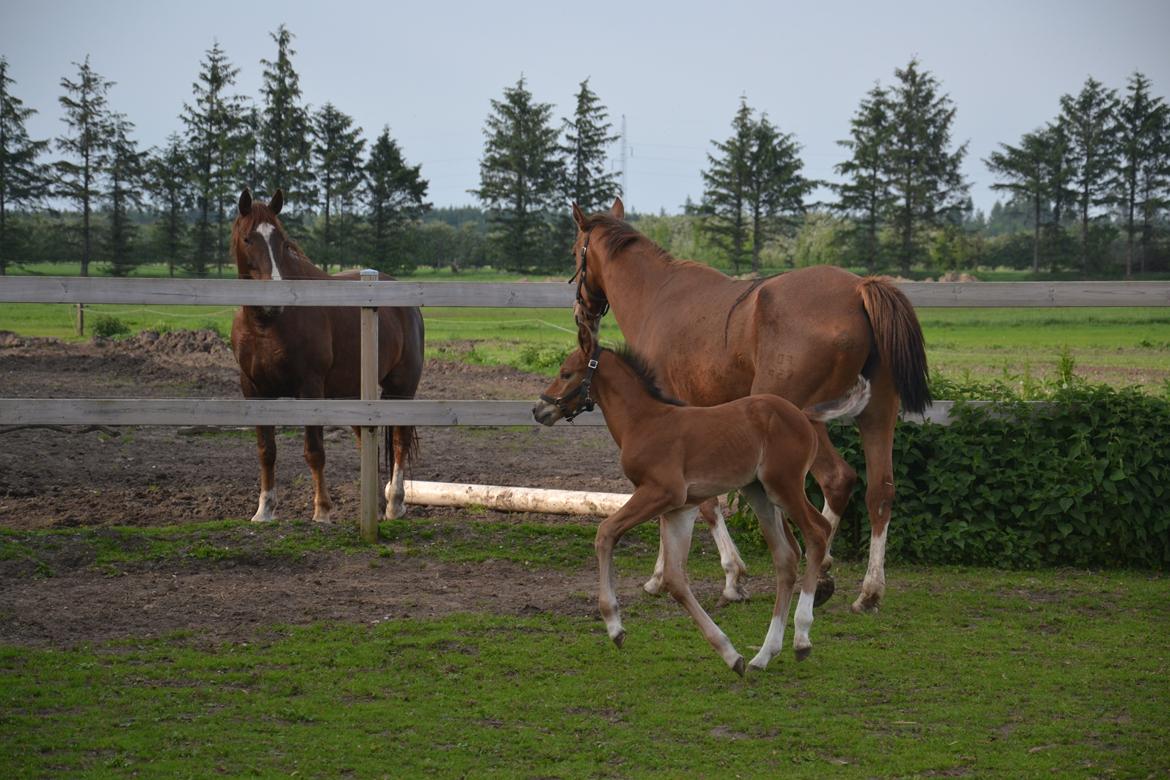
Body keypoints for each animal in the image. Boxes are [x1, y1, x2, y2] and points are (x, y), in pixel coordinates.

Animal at [228, 187, 425, 523]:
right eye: (247, 239)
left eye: (282, 241)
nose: (273, 300)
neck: (267, 324)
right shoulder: (254, 390)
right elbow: (266, 451)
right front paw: (264, 509)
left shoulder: (310, 388)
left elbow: (314, 451)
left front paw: (322, 510)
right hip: (355, 392)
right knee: (367, 444)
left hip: (402, 388)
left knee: (399, 441)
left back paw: (395, 504)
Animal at [531, 329, 870, 678]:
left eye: (566, 373)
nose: (539, 410)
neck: (644, 421)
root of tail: (802, 414)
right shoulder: (678, 508)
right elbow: (674, 579)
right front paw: (730, 654)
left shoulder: (662, 492)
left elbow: (606, 532)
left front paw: (614, 626)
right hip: (759, 493)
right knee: (787, 556)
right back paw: (763, 655)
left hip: (783, 486)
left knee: (817, 533)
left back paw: (801, 638)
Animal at [568, 198, 931, 612]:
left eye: (575, 252)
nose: (581, 314)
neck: (657, 295)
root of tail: (859, 288)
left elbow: (702, 503)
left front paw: (722, 575)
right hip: (877, 415)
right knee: (880, 491)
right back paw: (869, 591)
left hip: (802, 415)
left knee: (836, 481)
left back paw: (821, 569)